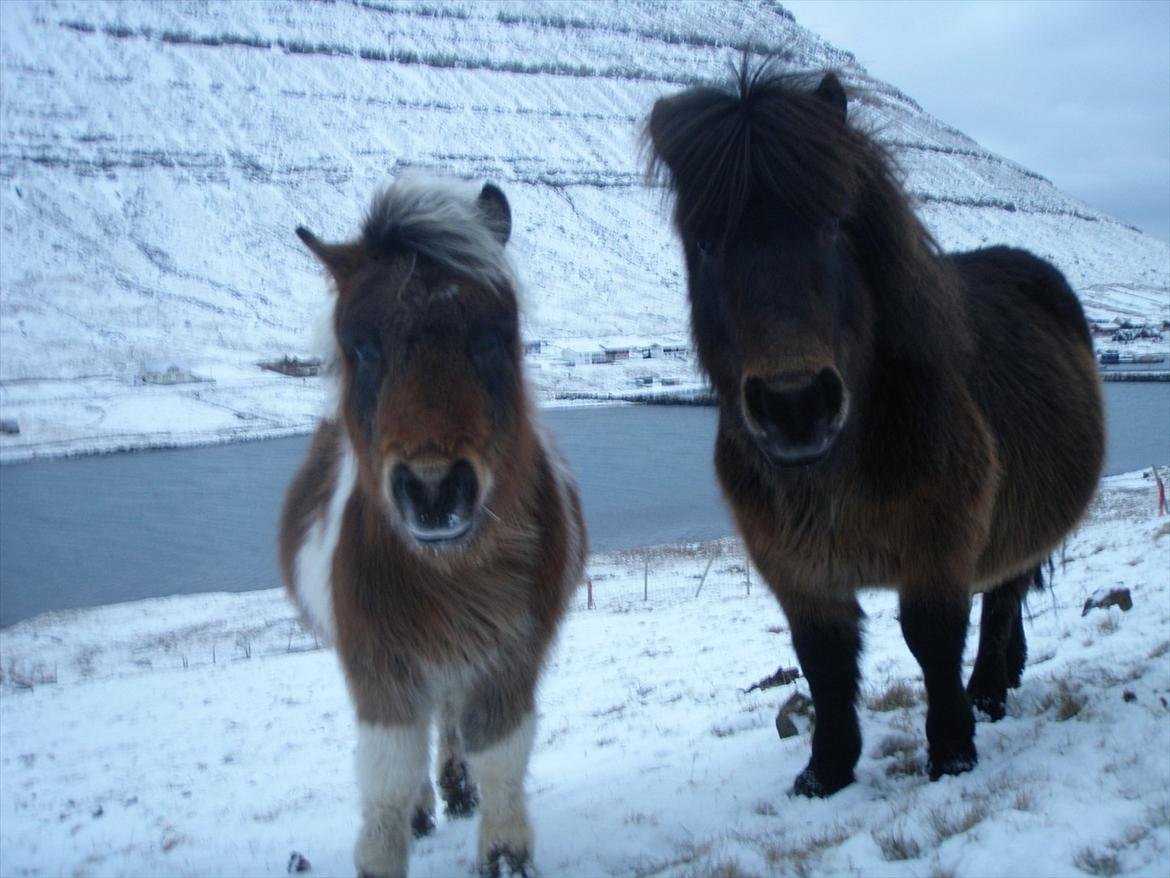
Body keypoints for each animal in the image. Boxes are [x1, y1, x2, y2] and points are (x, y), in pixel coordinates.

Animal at [274, 175, 585, 875]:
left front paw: (504, 853)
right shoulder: (378, 666)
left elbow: (499, 753)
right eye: (360, 346)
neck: (448, 573)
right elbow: (388, 778)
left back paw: (456, 787)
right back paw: (425, 805)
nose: (436, 491)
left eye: (493, 336)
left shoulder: (510, 655)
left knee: (450, 718)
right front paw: (393, 839)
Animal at [650, 65, 1104, 800]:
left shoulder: (939, 547)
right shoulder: (796, 570)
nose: (796, 405)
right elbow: (825, 663)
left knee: (1003, 600)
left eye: (835, 225)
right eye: (706, 242)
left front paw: (951, 753)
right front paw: (826, 769)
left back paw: (988, 691)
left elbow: (932, 641)